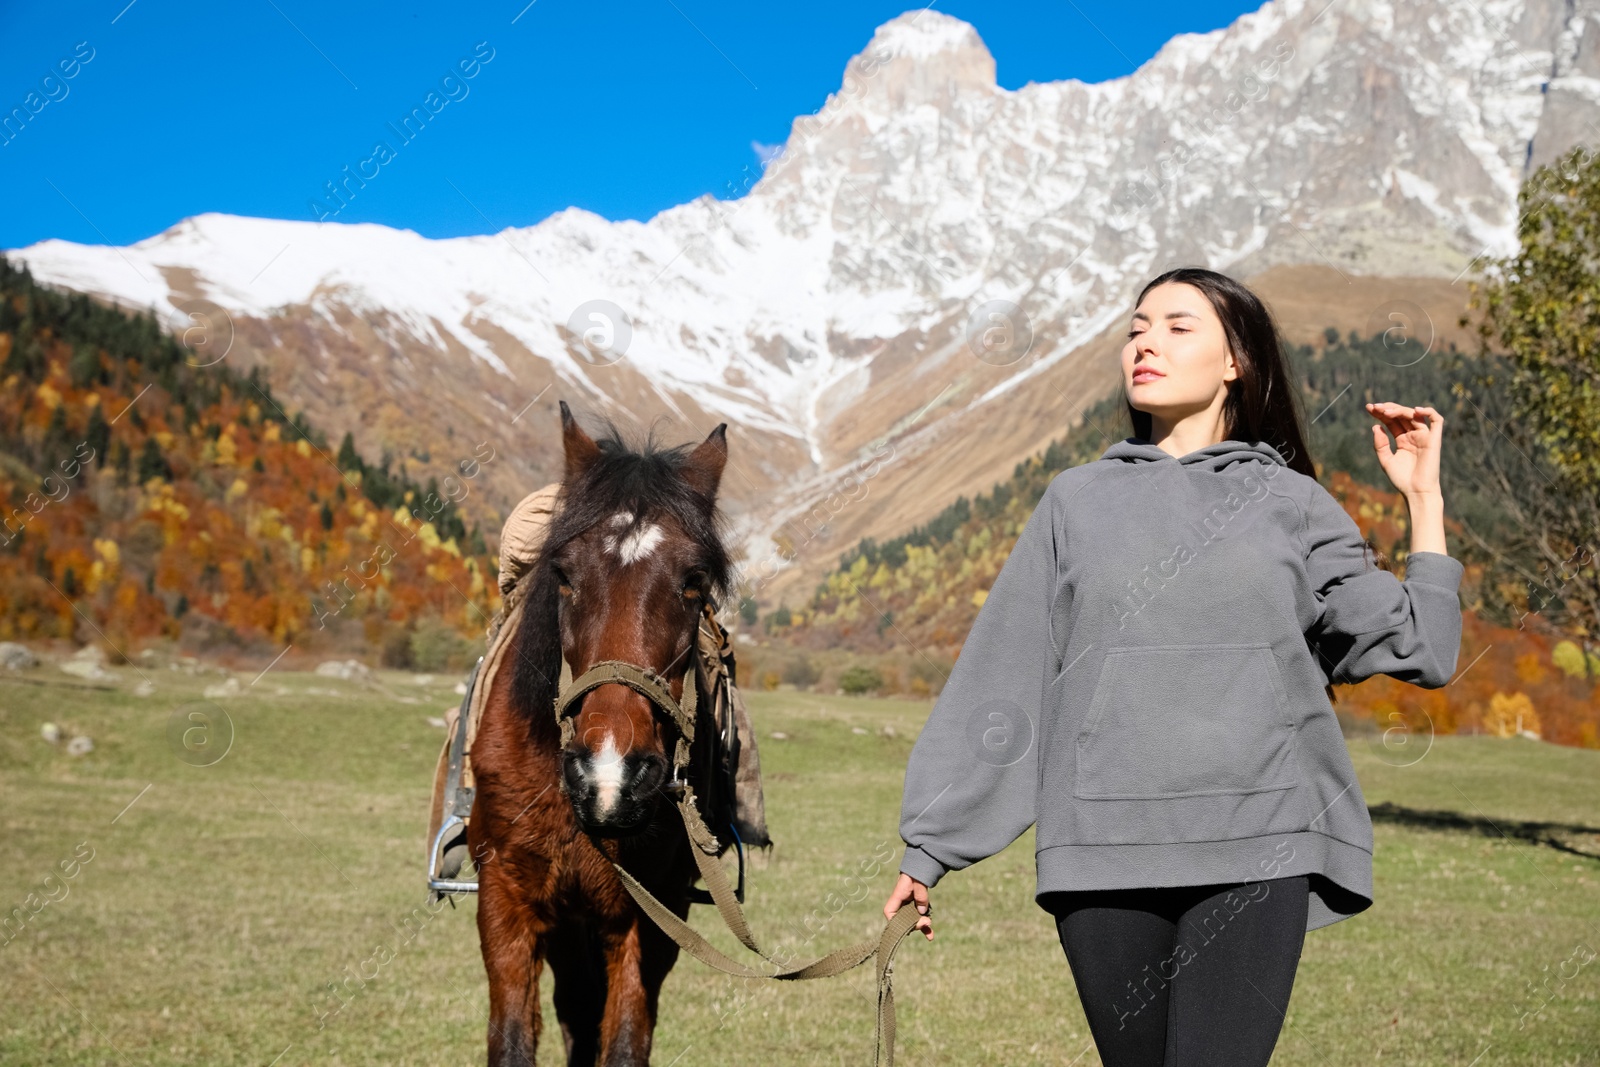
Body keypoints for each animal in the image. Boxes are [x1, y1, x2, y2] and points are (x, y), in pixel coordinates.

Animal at [467, 404, 732, 1062]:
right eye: (563, 575)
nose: (610, 778)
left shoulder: (652, 917)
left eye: (693, 582)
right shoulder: (506, 902)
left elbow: (624, 1043)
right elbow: (512, 1040)